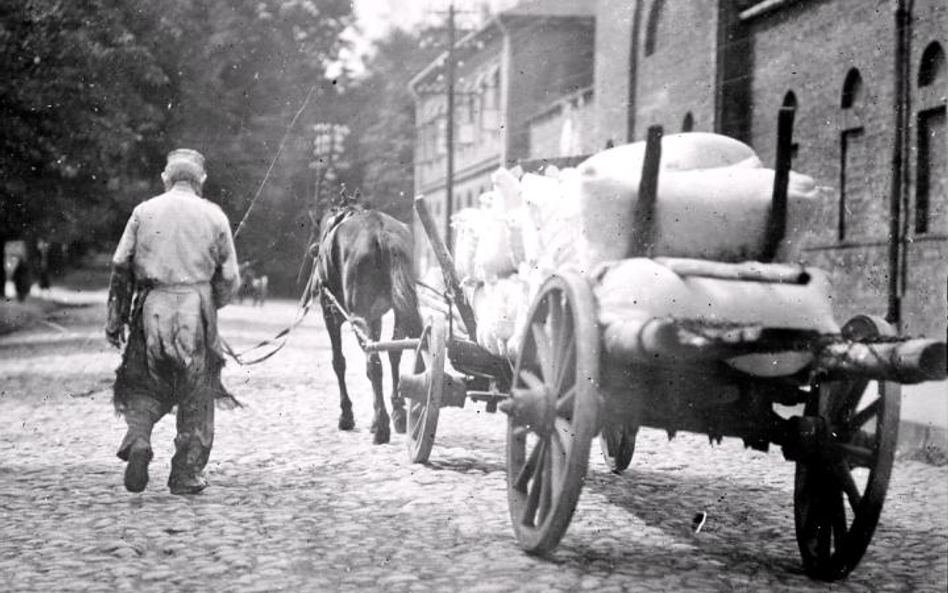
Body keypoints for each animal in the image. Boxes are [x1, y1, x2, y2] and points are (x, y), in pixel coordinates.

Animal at [312, 206, 422, 442]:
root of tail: (381, 232)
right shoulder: (375, 319)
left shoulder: (330, 314)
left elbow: (339, 362)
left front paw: (346, 415)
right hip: (400, 310)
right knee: (397, 353)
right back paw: (400, 413)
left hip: (358, 317)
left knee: (374, 363)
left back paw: (381, 424)